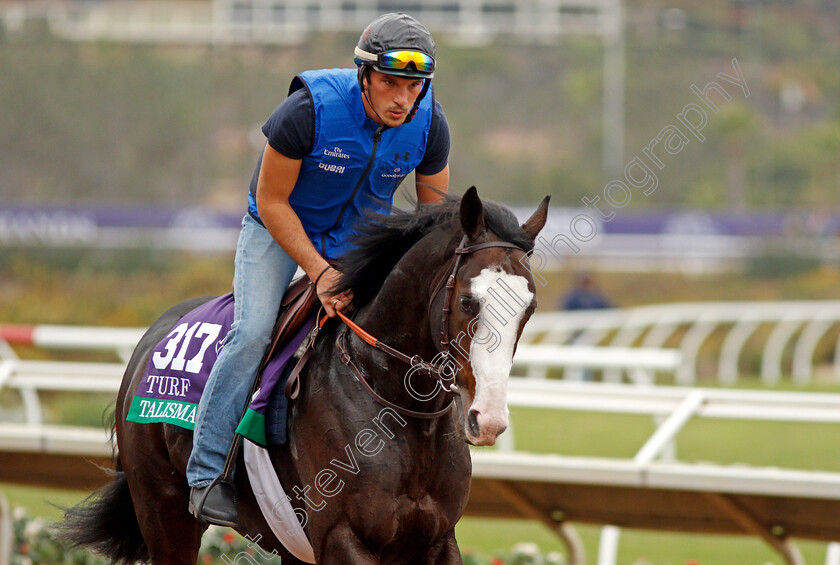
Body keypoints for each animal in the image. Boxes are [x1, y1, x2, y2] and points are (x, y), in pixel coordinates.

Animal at [64, 189, 552, 564]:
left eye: (529, 307)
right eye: (469, 301)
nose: (488, 419)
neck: (393, 404)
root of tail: (154, 335)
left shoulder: (436, 540)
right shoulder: (342, 537)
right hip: (163, 512)